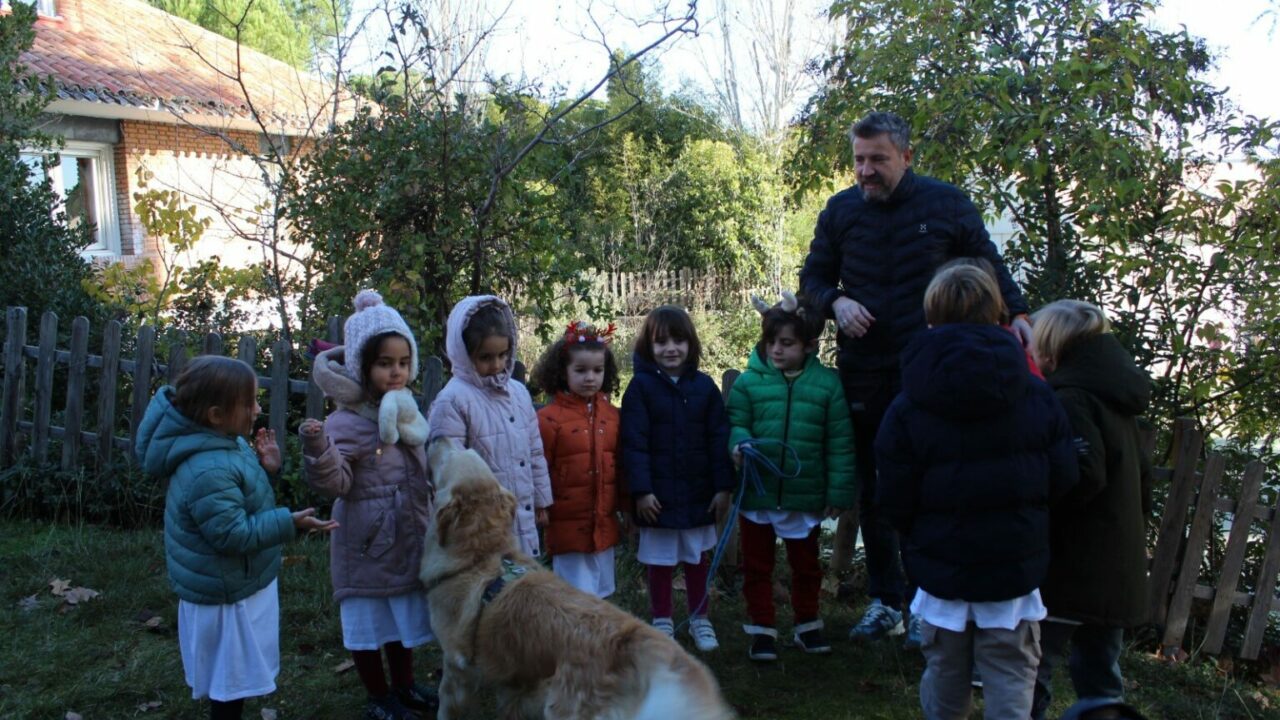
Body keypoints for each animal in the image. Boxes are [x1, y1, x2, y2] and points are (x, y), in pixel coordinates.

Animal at [422, 435, 732, 717]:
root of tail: (637, 641)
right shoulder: (518, 681)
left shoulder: (456, 668)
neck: (481, 553)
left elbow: (446, 707)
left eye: (455, 452)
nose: (437, 436)